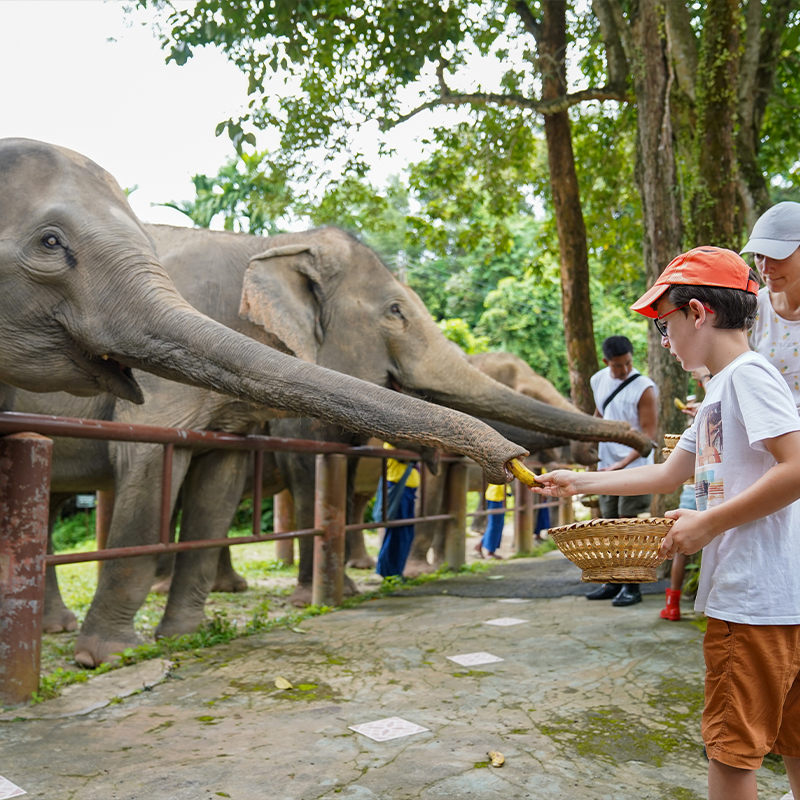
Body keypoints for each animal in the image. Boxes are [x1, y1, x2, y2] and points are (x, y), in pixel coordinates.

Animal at [21, 224, 651, 666]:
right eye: (395, 312)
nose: (643, 434)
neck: (269, 245)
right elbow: (158, 455)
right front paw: (108, 659)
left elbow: (227, 474)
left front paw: (186, 636)